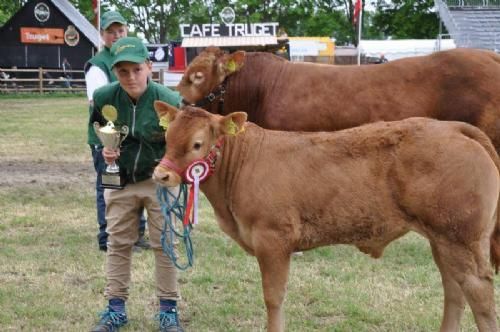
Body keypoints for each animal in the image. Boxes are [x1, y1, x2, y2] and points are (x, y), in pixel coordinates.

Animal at [152, 102, 500, 332]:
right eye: (167, 139)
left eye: (197, 144)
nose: (160, 175)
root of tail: (450, 126)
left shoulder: (273, 239)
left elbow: (273, 297)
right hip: (442, 239)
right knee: (454, 288)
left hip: (460, 237)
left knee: (478, 290)